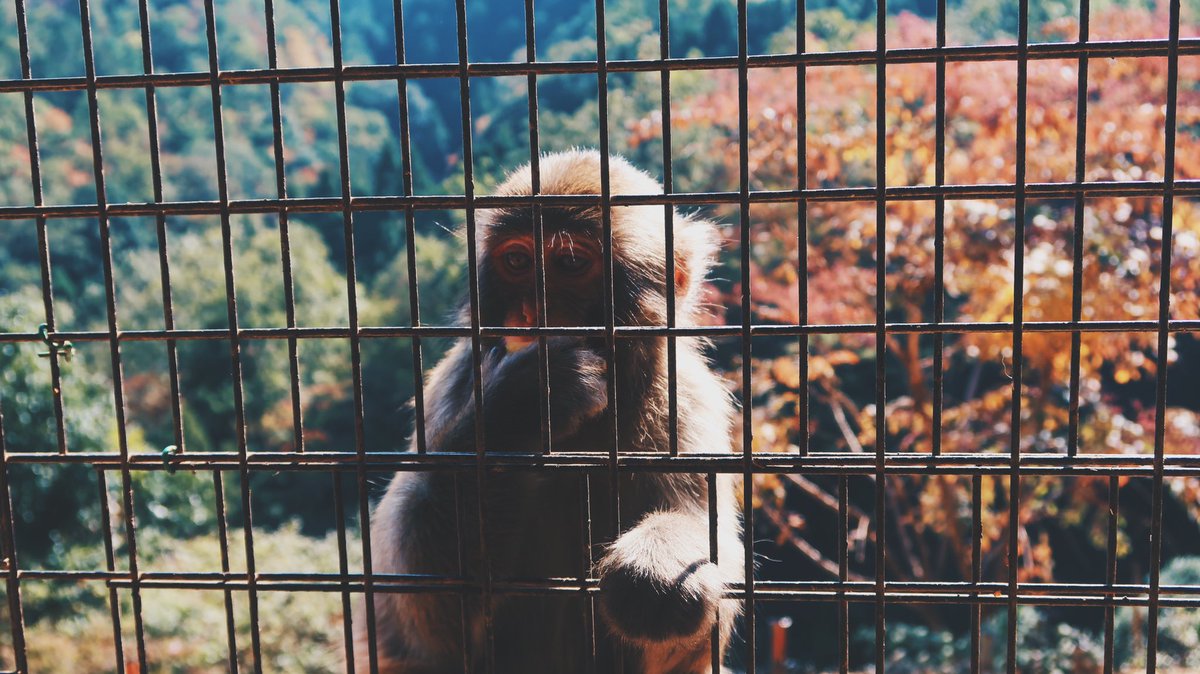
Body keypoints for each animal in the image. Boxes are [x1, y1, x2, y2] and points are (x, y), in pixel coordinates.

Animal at [355, 150, 742, 674]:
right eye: (518, 261)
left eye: (571, 263)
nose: (530, 314)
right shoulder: (455, 382)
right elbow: (418, 617)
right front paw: (525, 406)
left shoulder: (684, 398)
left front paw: (660, 564)